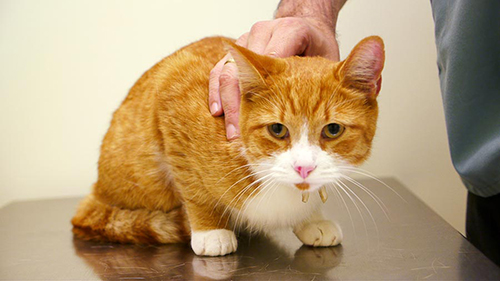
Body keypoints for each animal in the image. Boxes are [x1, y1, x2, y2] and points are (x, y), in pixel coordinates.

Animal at [71, 35, 382, 256]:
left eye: (333, 130)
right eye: (277, 129)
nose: (303, 168)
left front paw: (311, 219)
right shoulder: (172, 95)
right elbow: (193, 188)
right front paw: (210, 231)